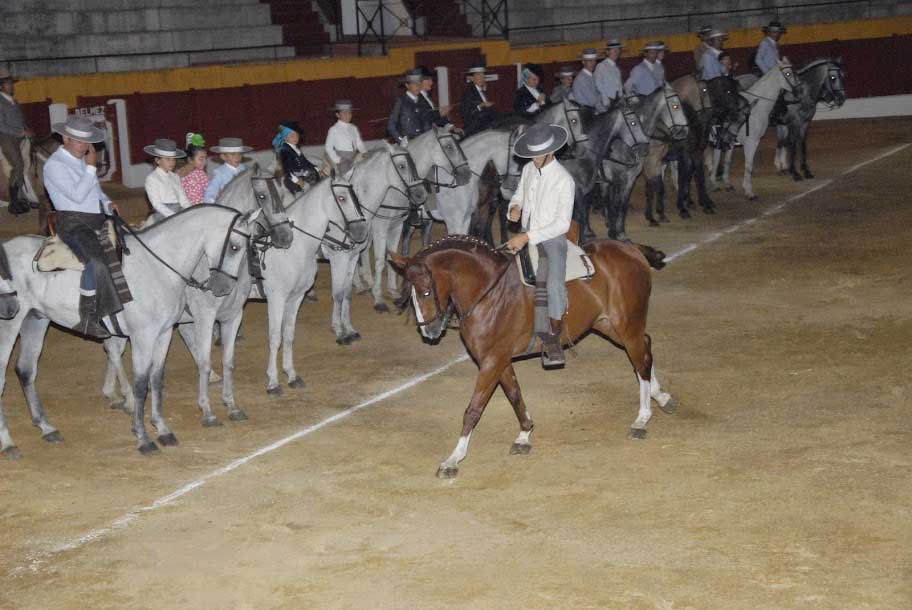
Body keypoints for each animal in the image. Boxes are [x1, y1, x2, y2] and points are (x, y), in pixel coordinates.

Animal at [0, 204, 256, 456]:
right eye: (235, 247)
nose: (222, 287)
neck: (157, 268)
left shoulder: (163, 334)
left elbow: (156, 379)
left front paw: (162, 429)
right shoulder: (144, 336)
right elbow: (142, 384)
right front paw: (143, 438)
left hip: (35, 320)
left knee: (26, 370)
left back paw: (46, 427)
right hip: (10, 324)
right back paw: (8, 443)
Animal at [255, 173, 368, 392]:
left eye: (355, 195)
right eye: (341, 198)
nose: (360, 230)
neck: (294, 247)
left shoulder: (295, 297)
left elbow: (289, 334)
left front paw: (291, 375)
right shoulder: (276, 298)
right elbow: (275, 337)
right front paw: (273, 382)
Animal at [386, 233, 676, 476]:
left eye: (426, 291)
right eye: (409, 294)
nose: (429, 332)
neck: (491, 294)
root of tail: (631, 248)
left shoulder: (491, 361)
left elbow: (474, 409)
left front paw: (453, 459)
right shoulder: (498, 359)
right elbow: (515, 394)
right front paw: (525, 434)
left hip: (626, 323)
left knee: (641, 358)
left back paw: (641, 419)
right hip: (607, 324)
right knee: (644, 350)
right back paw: (660, 397)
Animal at [708, 59, 796, 198]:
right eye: (788, 74)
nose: (796, 91)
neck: (757, 107)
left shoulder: (735, 141)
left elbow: (728, 161)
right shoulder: (751, 142)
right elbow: (749, 165)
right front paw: (749, 192)